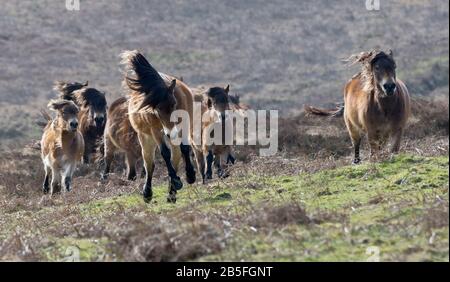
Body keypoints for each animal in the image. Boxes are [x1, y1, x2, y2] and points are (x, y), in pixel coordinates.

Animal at [120, 50, 196, 204]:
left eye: (174, 103)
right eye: (158, 108)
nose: (171, 133)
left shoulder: (183, 125)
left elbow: (185, 148)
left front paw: (190, 175)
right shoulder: (156, 131)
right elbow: (164, 153)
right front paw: (178, 181)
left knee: (175, 157)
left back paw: (171, 193)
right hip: (146, 138)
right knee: (150, 164)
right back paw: (149, 193)